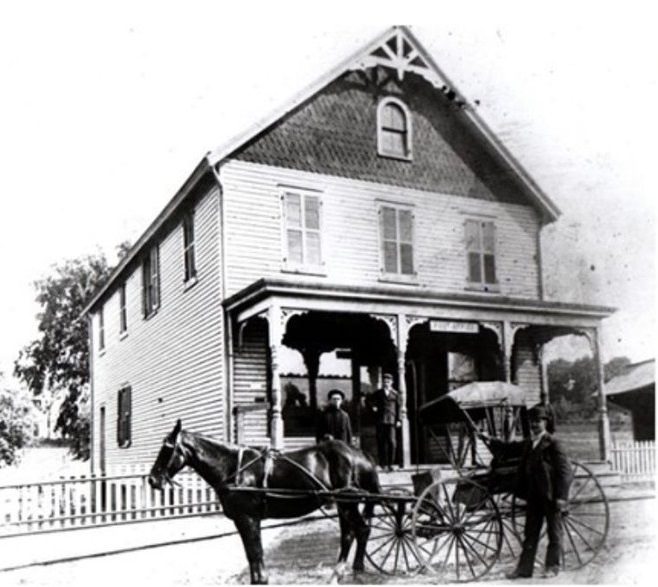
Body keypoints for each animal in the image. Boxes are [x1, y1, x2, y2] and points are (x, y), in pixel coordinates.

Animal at [145, 420, 376, 584]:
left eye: (167, 448)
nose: (152, 479)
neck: (234, 467)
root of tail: (359, 453)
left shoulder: (248, 518)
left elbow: (255, 552)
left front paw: (261, 579)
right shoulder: (244, 520)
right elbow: (251, 554)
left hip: (347, 503)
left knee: (358, 530)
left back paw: (348, 571)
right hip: (343, 505)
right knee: (351, 533)